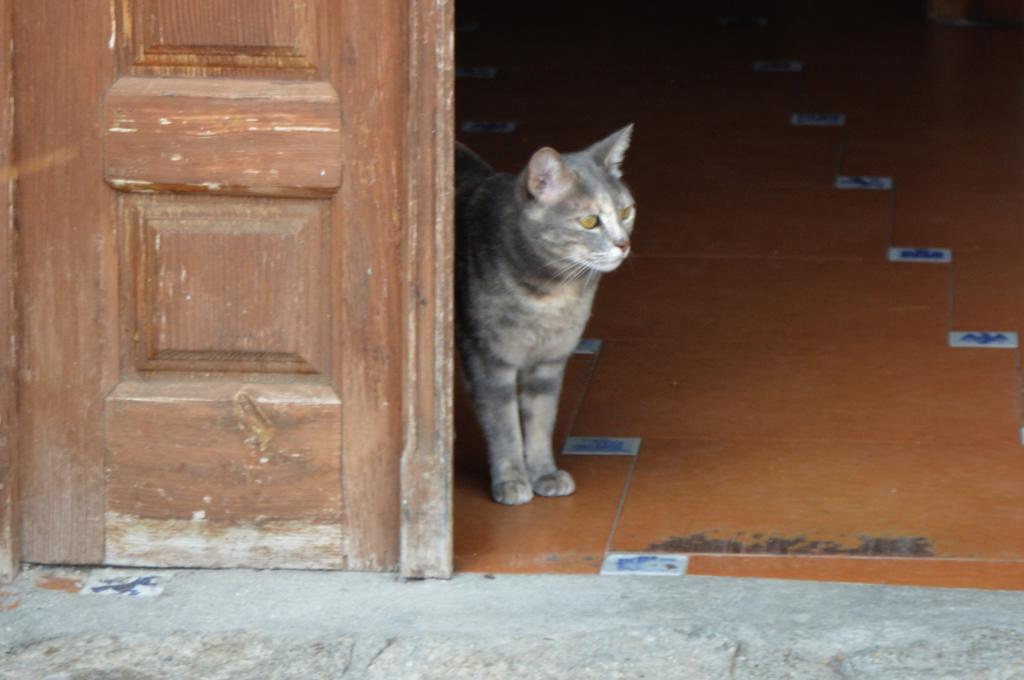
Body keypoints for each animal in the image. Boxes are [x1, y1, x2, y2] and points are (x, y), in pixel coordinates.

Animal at [454, 125, 630, 503]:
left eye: (626, 212)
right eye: (589, 221)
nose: (624, 243)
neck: (551, 295)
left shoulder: (549, 363)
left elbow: (539, 422)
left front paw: (544, 474)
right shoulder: (487, 360)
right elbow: (503, 425)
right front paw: (511, 481)